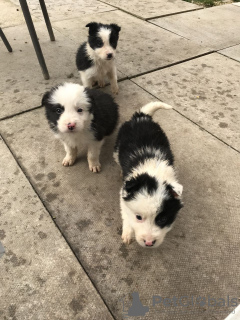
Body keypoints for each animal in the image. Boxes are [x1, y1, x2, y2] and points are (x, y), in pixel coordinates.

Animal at [114, 102, 184, 248]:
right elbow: (126, 214)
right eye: (138, 217)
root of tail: (141, 116)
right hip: (117, 149)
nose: (149, 243)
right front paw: (128, 234)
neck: (154, 173)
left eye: (162, 219)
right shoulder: (124, 195)